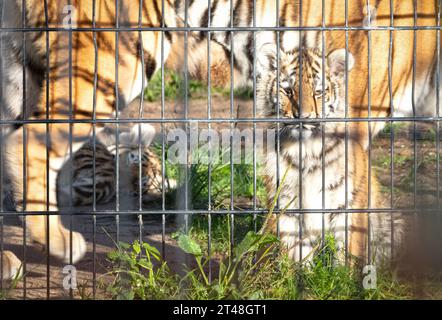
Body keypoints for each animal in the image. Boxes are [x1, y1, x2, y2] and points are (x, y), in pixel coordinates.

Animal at [0, 0, 440, 280]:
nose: (302, 114)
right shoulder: (358, 112)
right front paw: (286, 272)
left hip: (18, 64)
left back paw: (9, 262)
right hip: (114, 55)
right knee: (30, 140)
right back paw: (60, 241)